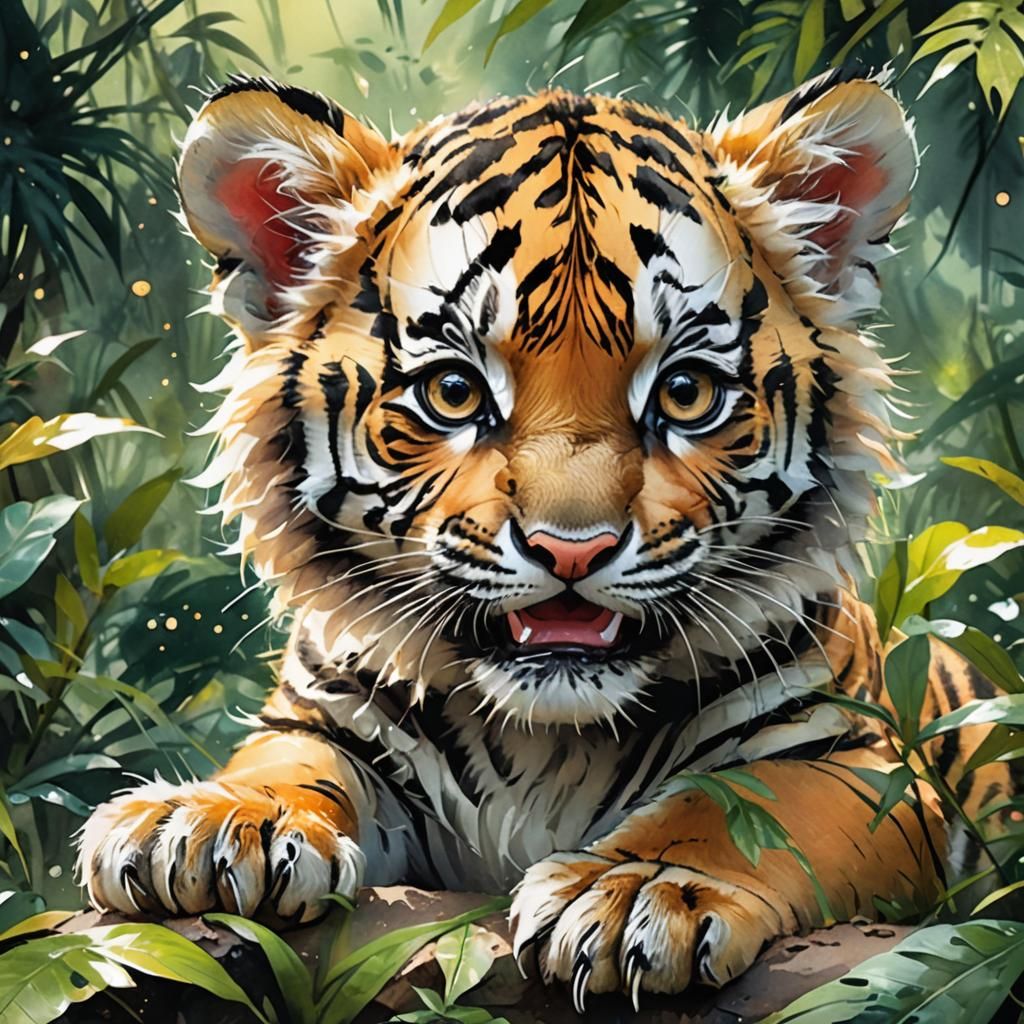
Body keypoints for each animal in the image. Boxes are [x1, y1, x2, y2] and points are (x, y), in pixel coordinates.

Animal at [78, 68, 1014, 1007]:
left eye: (684, 392)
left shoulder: (859, 761)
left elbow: (738, 807)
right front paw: (210, 822)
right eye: (454, 391)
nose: (572, 550)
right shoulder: (329, 715)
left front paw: (634, 892)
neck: (545, 737)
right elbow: (283, 761)